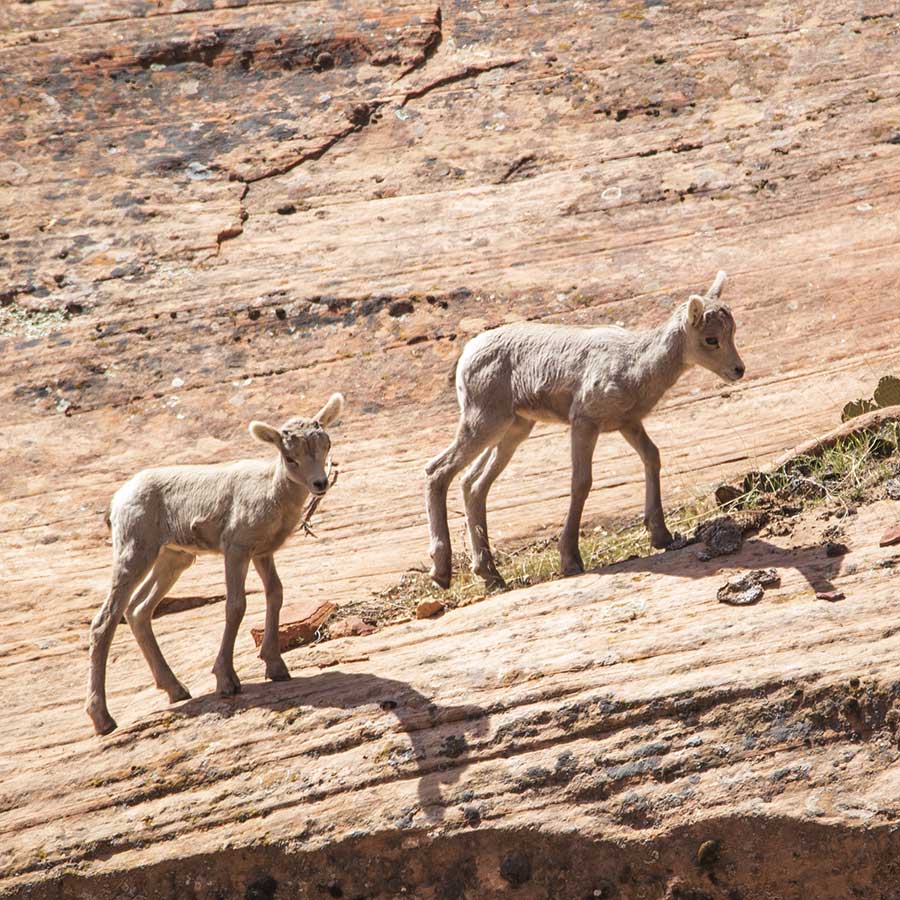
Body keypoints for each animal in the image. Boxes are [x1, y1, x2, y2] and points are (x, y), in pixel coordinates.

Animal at [86, 390, 344, 736]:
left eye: (326, 444)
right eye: (290, 458)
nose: (320, 483)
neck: (271, 494)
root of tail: (117, 499)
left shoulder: (262, 554)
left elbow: (275, 595)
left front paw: (276, 668)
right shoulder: (236, 550)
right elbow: (235, 606)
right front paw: (227, 681)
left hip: (173, 559)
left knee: (138, 611)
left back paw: (176, 690)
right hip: (135, 553)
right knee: (106, 620)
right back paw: (103, 720)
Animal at [428, 274, 744, 592]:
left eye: (732, 332)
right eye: (711, 339)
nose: (738, 370)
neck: (637, 366)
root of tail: (467, 354)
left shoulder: (628, 424)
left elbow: (652, 457)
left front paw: (661, 535)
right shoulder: (584, 423)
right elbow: (581, 482)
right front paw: (570, 560)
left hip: (512, 430)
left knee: (473, 485)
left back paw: (492, 576)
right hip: (484, 422)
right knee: (437, 470)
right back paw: (441, 572)